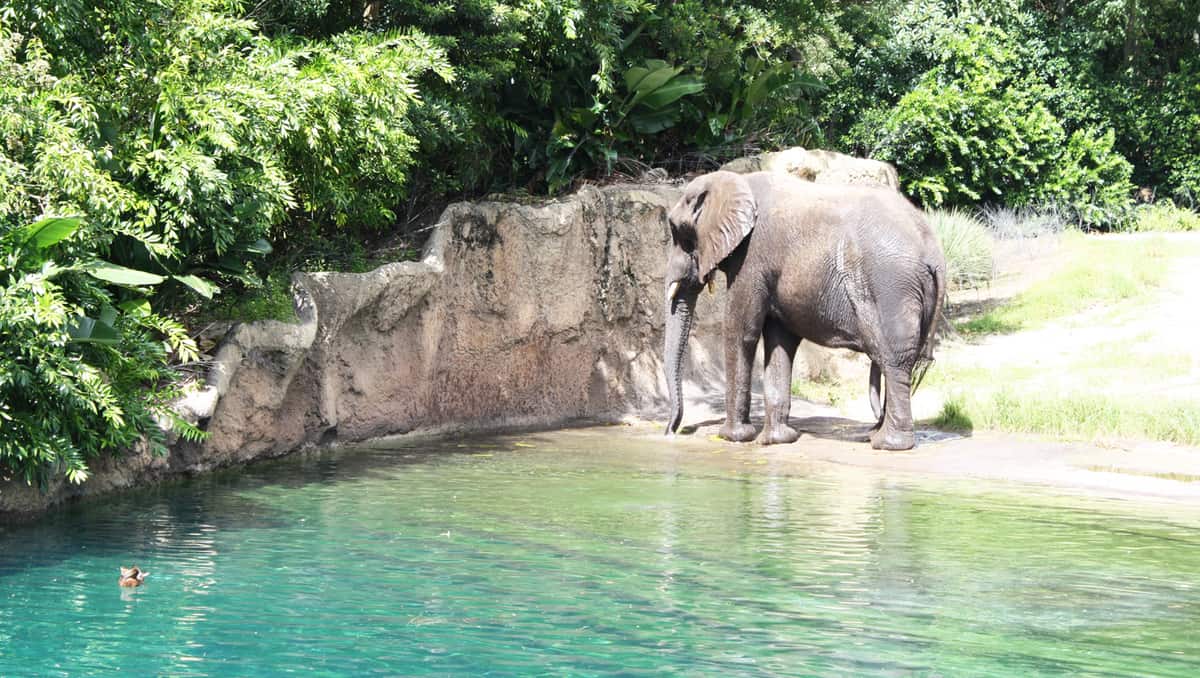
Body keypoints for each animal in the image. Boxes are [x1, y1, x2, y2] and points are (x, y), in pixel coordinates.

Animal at [662, 170, 945, 450]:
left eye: (678, 232)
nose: (671, 431)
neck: (733, 180)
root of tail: (935, 254)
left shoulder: (752, 256)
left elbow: (741, 330)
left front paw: (733, 437)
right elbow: (780, 341)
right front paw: (776, 440)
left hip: (891, 288)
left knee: (895, 359)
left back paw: (887, 443)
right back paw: (875, 435)